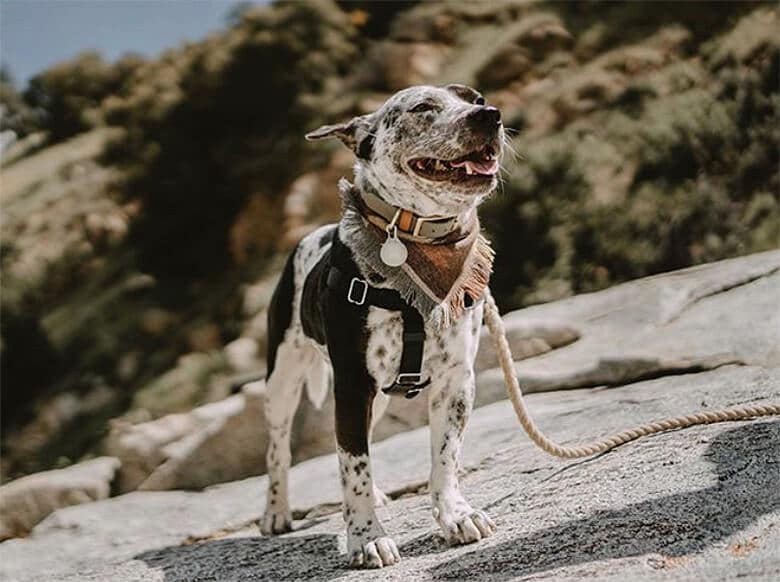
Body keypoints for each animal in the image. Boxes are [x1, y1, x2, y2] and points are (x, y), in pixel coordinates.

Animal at [262, 84, 506, 568]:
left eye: (475, 98)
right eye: (423, 107)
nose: (490, 115)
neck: (415, 240)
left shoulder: (455, 381)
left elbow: (445, 456)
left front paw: (456, 515)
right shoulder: (353, 386)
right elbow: (352, 467)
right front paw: (366, 538)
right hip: (282, 379)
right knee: (279, 448)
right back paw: (276, 512)